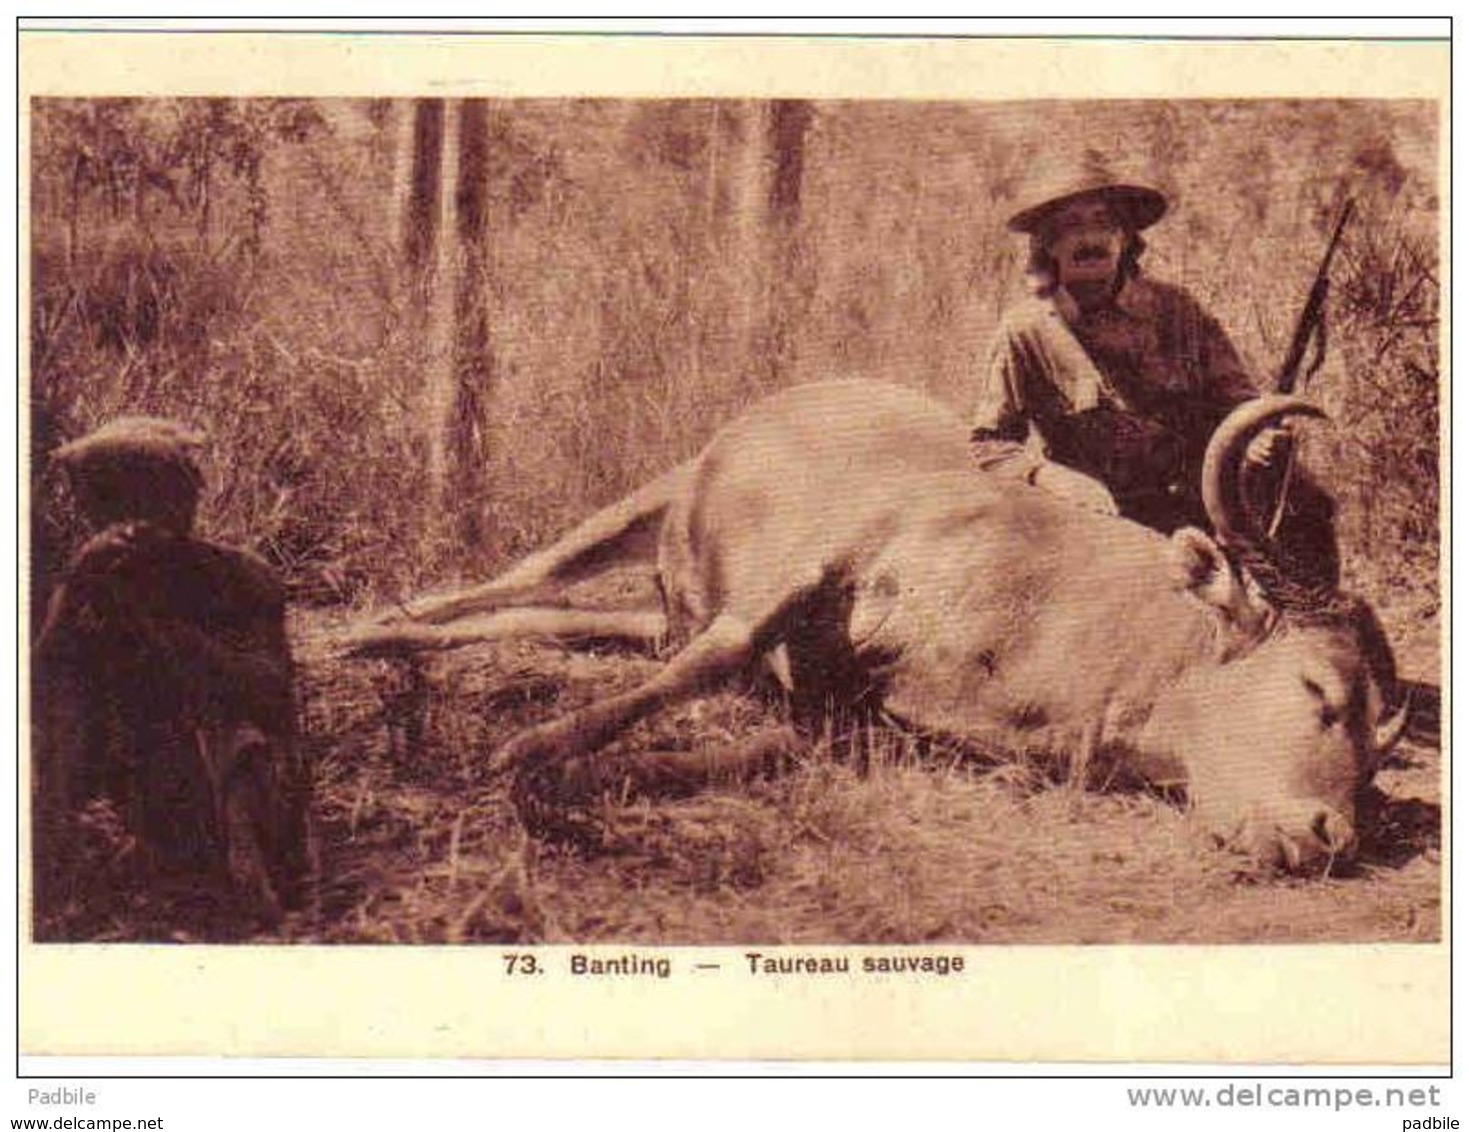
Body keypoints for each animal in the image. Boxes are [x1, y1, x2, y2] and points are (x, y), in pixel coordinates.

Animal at [343, 381, 1410, 875]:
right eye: (1317, 690)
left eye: (1373, 752)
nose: (1324, 835)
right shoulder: (837, 553)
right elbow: (723, 653)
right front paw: (527, 750)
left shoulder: (877, 725)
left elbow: (769, 740)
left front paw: (595, 778)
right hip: (655, 499)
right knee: (532, 577)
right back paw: (367, 630)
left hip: (658, 603)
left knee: (576, 618)